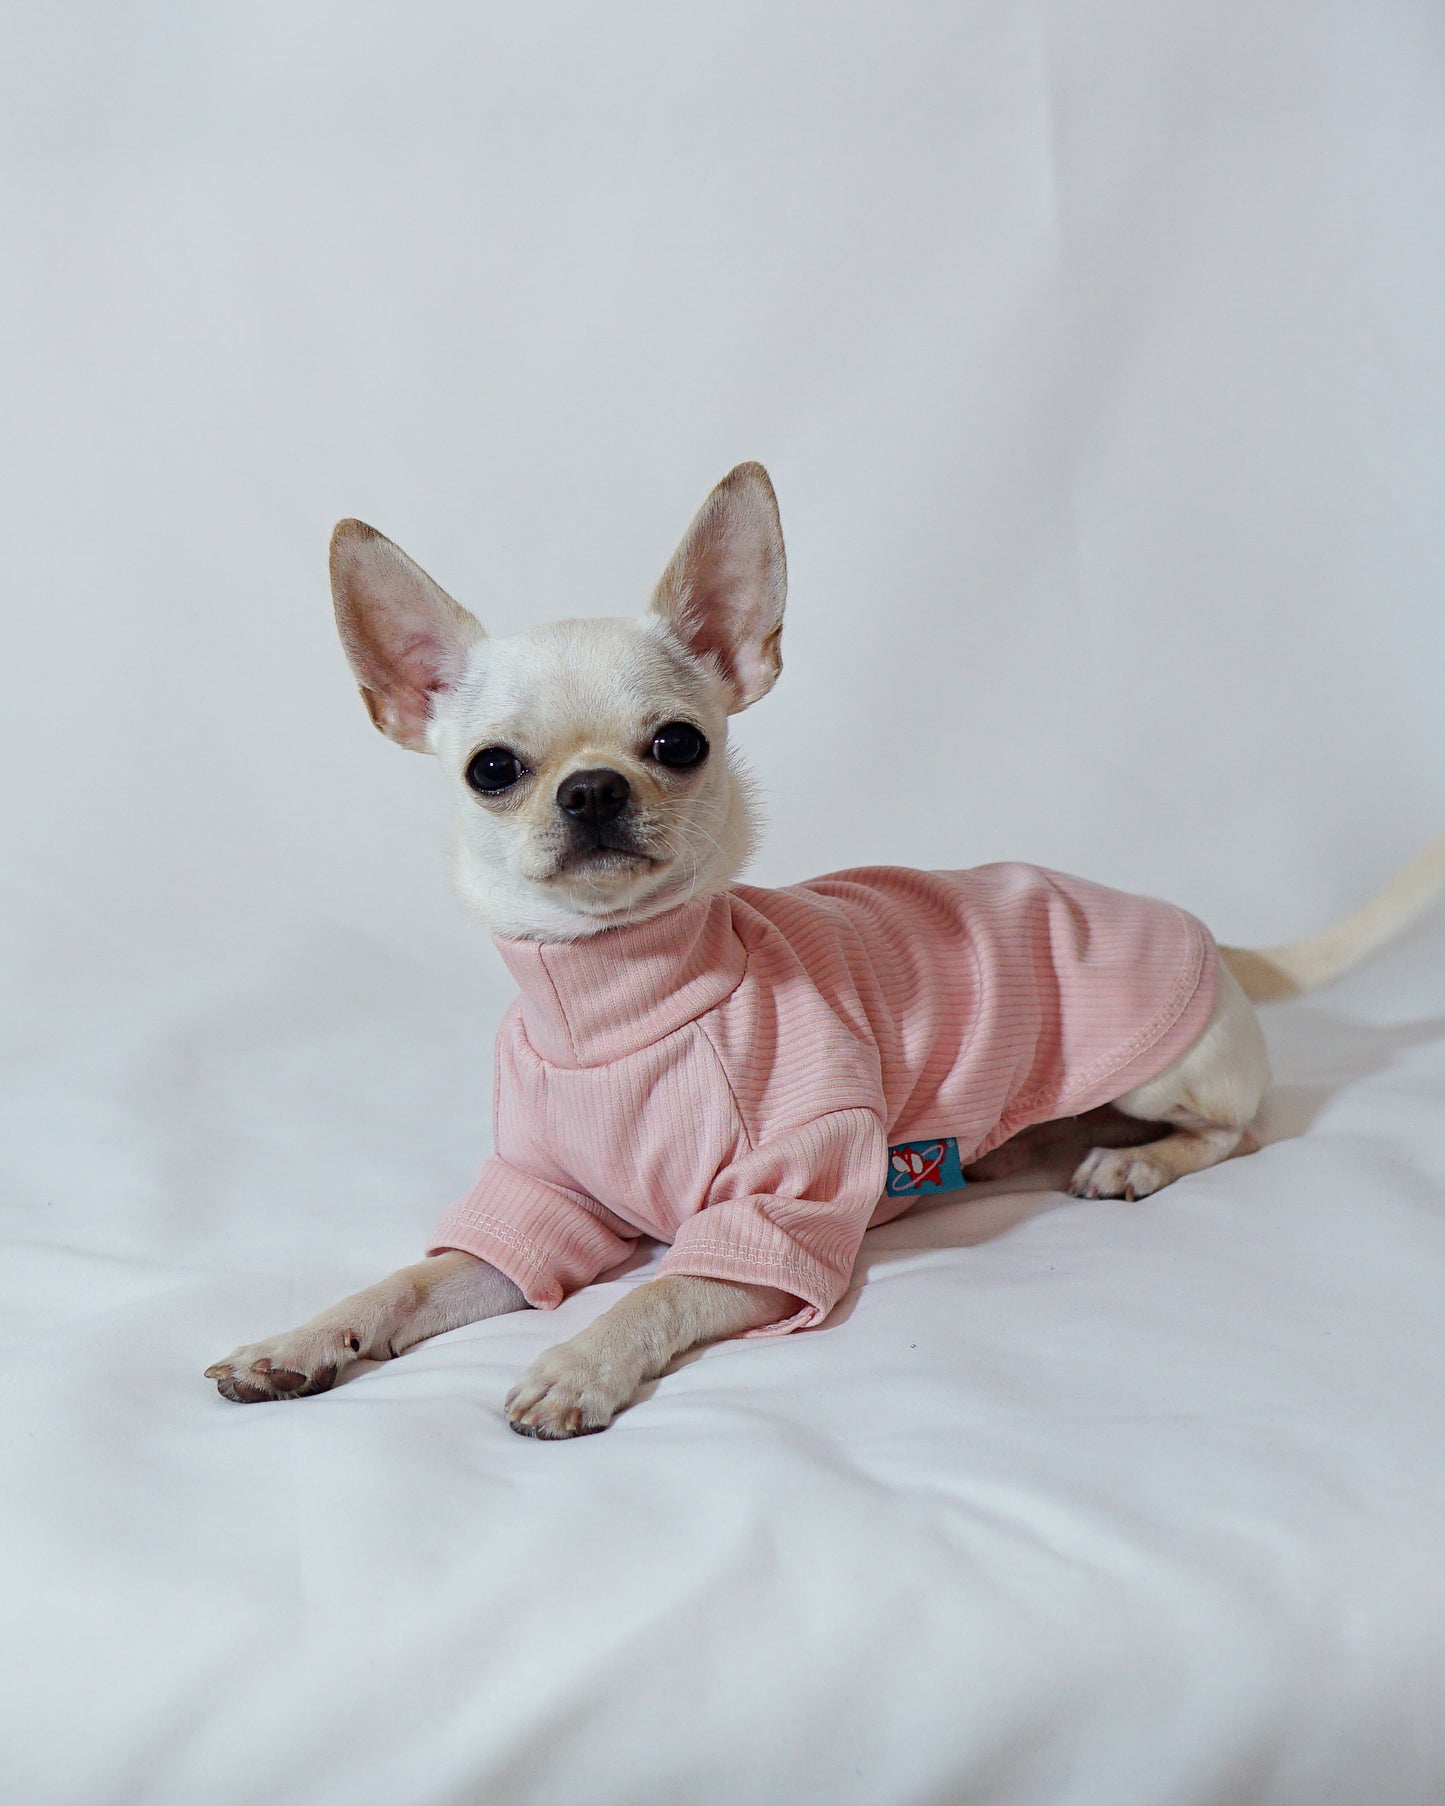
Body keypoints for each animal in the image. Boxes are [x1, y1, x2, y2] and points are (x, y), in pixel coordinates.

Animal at [205, 462, 1445, 1437]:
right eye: (492, 770)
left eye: (677, 744)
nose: (594, 788)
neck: (617, 1005)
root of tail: (1202, 931)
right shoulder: (541, 1203)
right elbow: (414, 1282)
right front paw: (304, 1339)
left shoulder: (775, 1215)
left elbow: (654, 1293)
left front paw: (575, 1361)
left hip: (1163, 1064)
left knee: (1237, 1128)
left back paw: (1132, 1161)